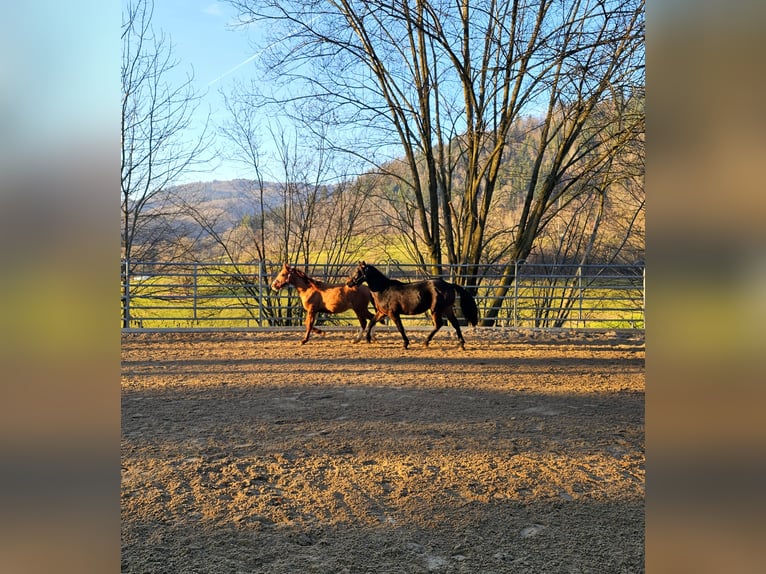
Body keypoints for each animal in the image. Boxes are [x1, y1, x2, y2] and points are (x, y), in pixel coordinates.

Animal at [348, 262, 480, 352]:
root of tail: (448, 284)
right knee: (455, 324)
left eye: (358, 272)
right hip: (447, 309)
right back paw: (461, 344)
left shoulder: (393, 313)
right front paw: (368, 339)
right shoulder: (382, 312)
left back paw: (426, 342)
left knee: (439, 324)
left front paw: (405, 344)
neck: (383, 289)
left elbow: (400, 328)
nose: (349, 283)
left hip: (436, 310)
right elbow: (372, 322)